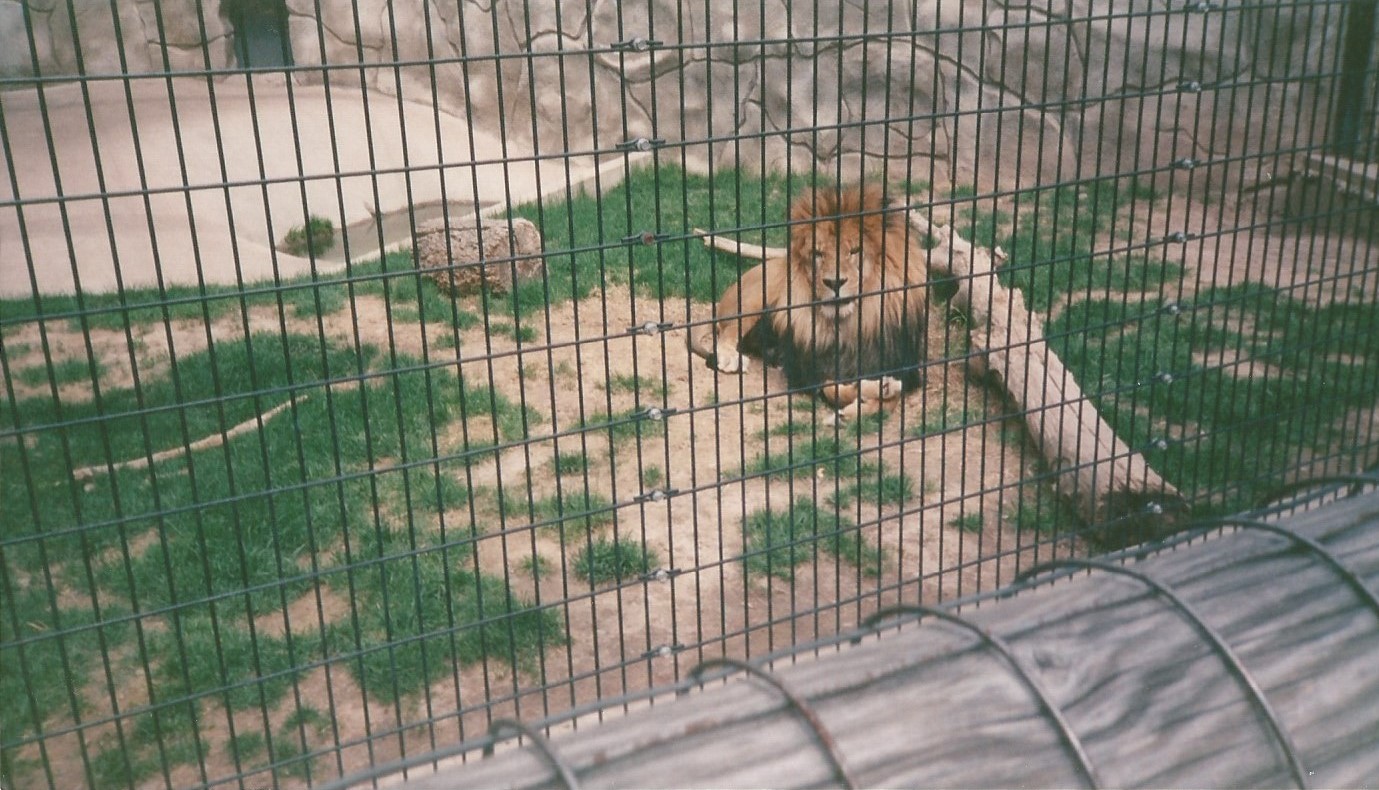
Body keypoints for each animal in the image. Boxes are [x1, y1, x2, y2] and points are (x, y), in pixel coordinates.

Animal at [688, 183, 932, 420]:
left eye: (855, 251)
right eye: (818, 254)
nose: (834, 282)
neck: (849, 325)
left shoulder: (905, 366)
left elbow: (891, 397)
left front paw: (874, 398)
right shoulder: (808, 370)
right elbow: (832, 388)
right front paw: (866, 396)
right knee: (728, 332)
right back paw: (730, 358)